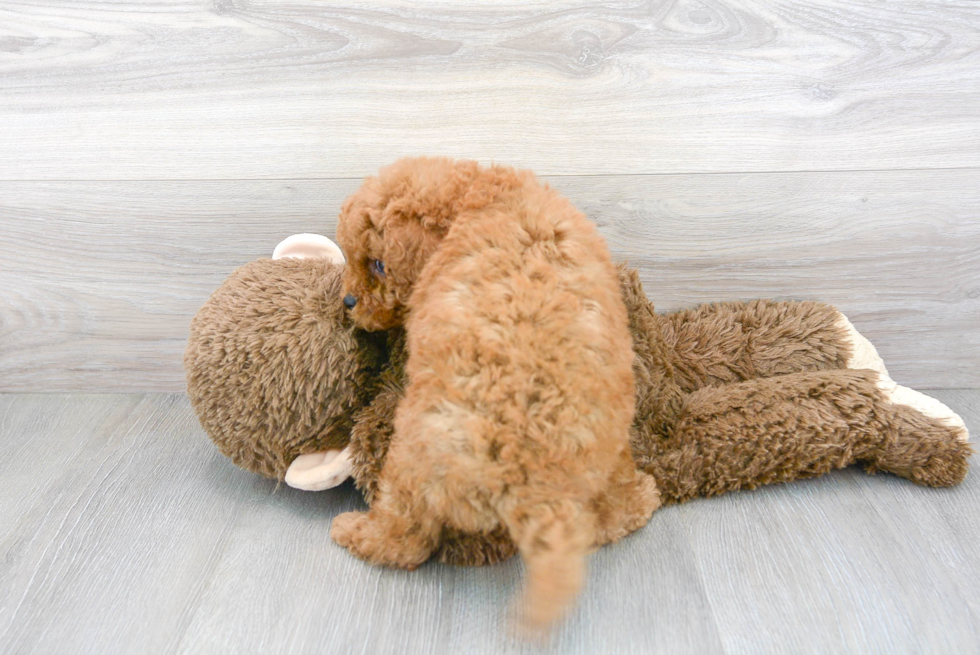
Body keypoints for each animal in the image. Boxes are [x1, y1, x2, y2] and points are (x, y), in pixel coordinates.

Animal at [330, 158, 660, 632]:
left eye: (377, 264)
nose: (348, 302)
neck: (479, 196)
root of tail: (531, 476)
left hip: (411, 460)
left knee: (405, 537)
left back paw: (355, 532)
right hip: (609, 444)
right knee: (612, 514)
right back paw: (641, 498)